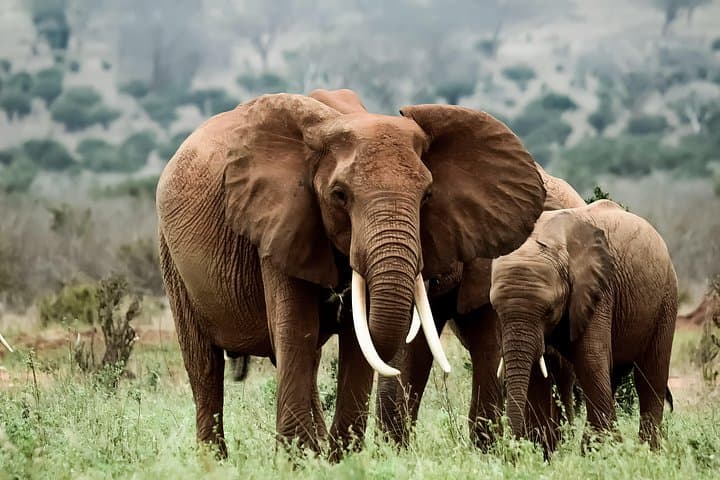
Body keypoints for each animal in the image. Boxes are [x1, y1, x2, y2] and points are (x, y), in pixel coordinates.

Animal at [155, 89, 546, 457]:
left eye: (427, 196)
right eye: (339, 194)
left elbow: (358, 339)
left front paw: (339, 459)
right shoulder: (279, 221)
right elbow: (296, 329)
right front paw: (298, 462)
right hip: (171, 258)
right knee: (204, 364)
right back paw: (215, 460)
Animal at [490, 200, 678, 448]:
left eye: (549, 310)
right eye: (496, 310)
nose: (511, 445)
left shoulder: (599, 290)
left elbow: (589, 359)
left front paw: (604, 450)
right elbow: (541, 370)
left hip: (666, 298)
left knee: (650, 375)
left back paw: (648, 449)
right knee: (612, 375)